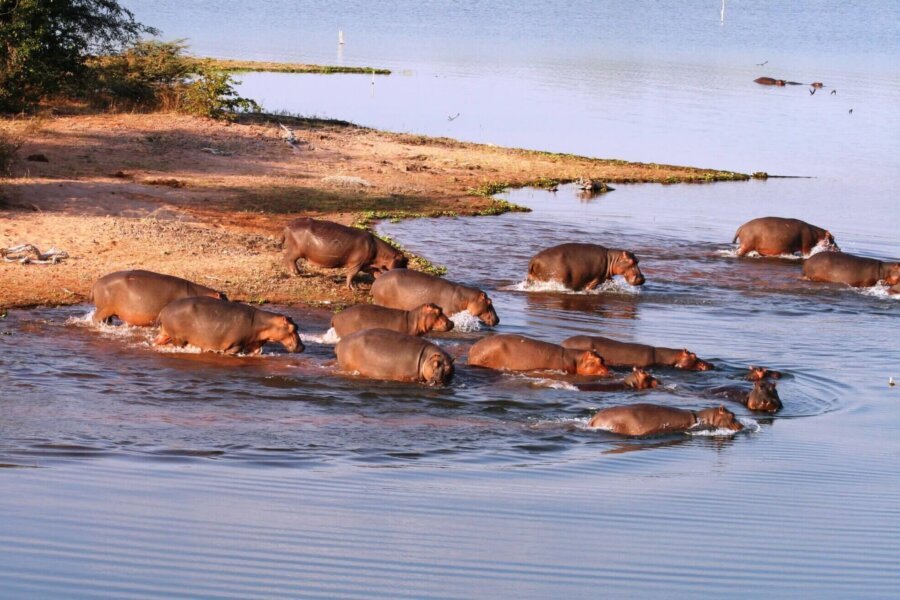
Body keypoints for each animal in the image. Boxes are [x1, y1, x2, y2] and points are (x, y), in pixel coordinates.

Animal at [154, 297, 303, 355]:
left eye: (298, 326)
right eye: (293, 328)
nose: (303, 347)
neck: (264, 323)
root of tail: (164, 310)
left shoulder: (255, 344)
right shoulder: (235, 345)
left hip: (165, 333)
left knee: (157, 341)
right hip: (178, 338)